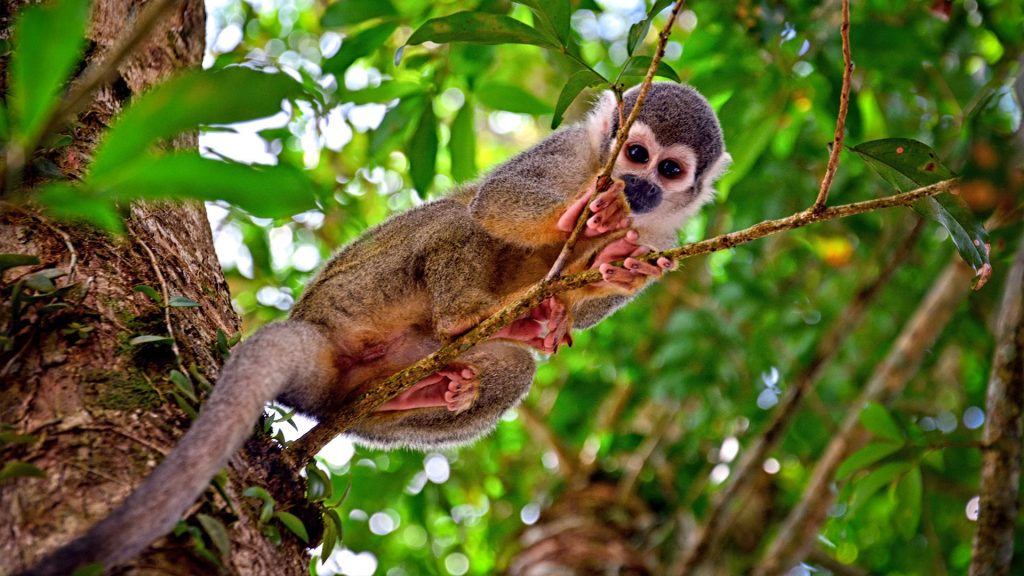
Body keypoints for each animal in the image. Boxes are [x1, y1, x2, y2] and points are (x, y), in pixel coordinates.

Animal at [24, 81, 729, 573]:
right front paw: (581, 214)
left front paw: (606, 271)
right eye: (634, 153)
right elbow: (495, 205)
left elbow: (596, 295)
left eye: (669, 171)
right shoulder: (572, 150)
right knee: (456, 218)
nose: (637, 186)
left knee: (508, 364)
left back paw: (425, 387)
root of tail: (312, 332)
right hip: (355, 293)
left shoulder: (664, 235)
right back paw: (462, 313)